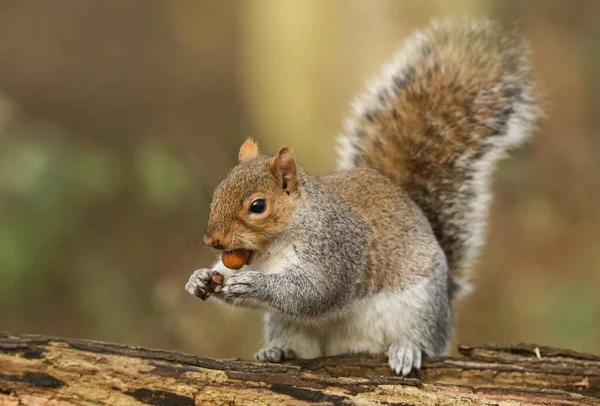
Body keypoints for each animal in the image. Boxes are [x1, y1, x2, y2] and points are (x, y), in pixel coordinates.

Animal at [184, 18, 540, 374]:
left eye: (257, 206)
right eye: (217, 192)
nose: (213, 240)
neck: (272, 248)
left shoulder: (336, 251)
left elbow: (312, 292)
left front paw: (254, 284)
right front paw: (201, 279)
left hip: (420, 309)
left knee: (424, 340)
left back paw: (407, 351)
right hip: (286, 325)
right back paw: (277, 351)